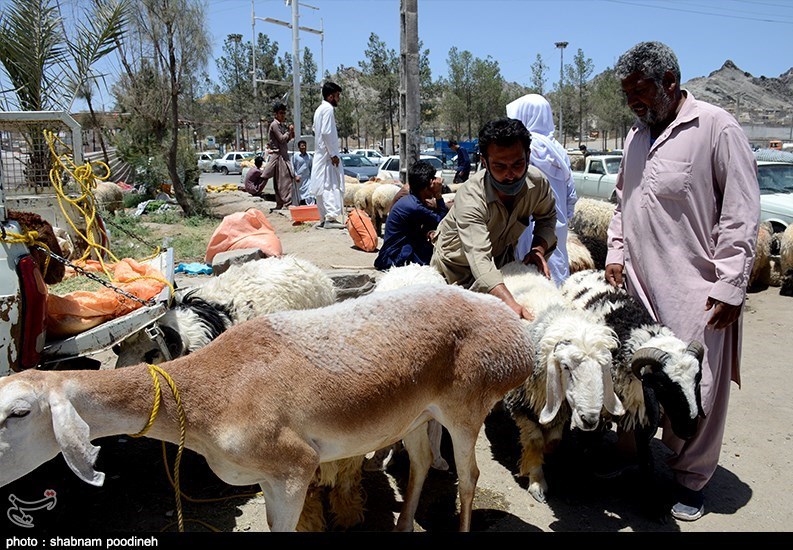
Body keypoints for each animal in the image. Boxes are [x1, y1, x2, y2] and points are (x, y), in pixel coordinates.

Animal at [0, 282, 536, 532]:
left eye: (18, 412)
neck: (205, 395)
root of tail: (516, 333)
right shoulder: (265, 476)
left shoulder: (295, 466)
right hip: (416, 414)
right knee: (422, 462)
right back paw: (404, 525)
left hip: (465, 408)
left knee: (469, 477)